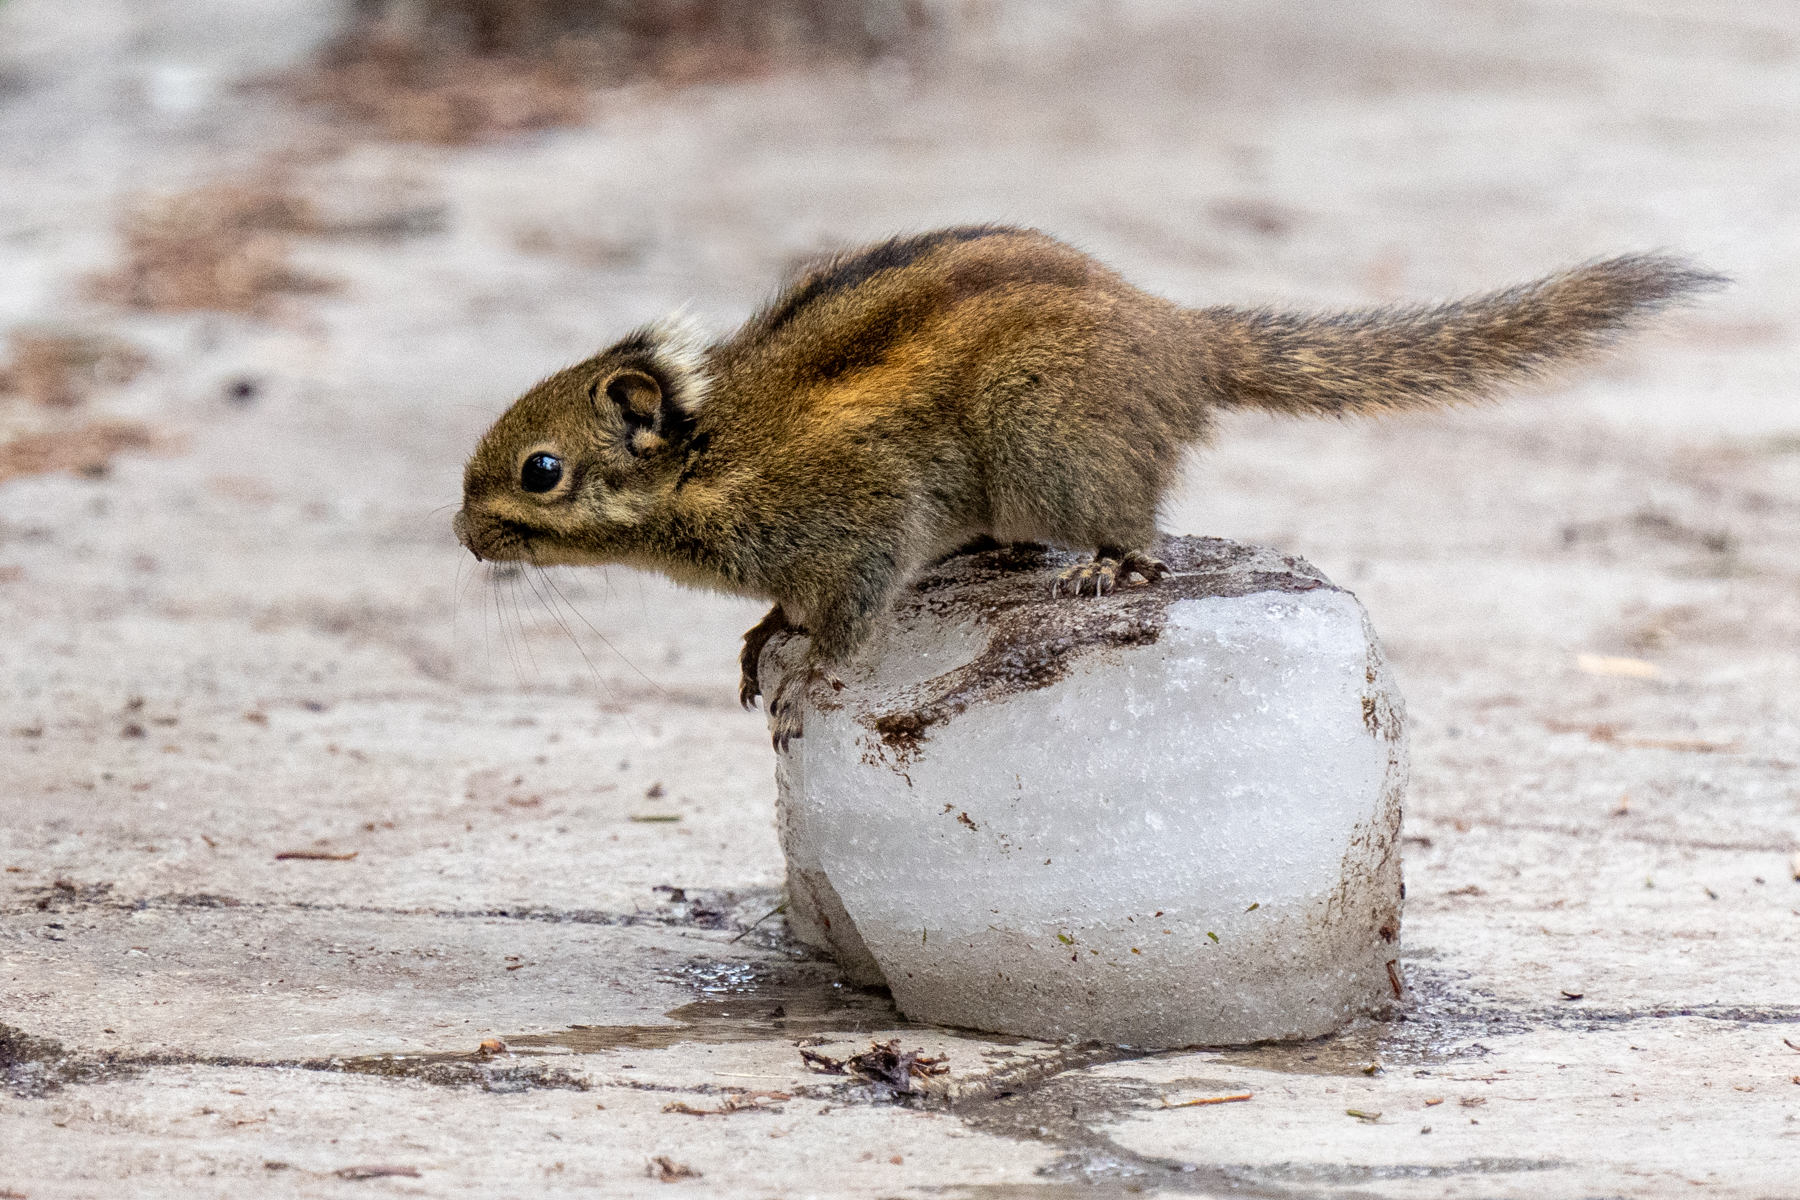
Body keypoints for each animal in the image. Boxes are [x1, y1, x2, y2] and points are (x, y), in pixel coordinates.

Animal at [455, 225, 1722, 746]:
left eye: (540, 471)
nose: (464, 538)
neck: (712, 456)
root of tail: (1182, 342)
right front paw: (767, 630)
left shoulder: (861, 514)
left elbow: (856, 608)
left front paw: (813, 672)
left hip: (1042, 439)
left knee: (1135, 530)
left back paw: (1106, 562)